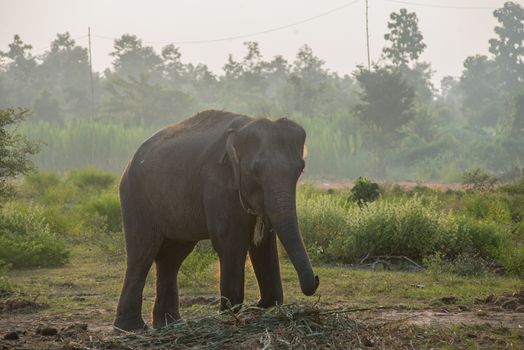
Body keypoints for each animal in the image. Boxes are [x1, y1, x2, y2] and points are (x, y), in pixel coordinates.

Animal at [113, 109, 320, 330]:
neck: (240, 131)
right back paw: (132, 328)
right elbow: (231, 242)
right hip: (135, 197)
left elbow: (264, 243)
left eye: (300, 170)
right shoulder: (217, 184)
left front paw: (267, 306)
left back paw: (169, 323)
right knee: (142, 254)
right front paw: (229, 313)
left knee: (172, 257)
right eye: (255, 171)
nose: (316, 279)